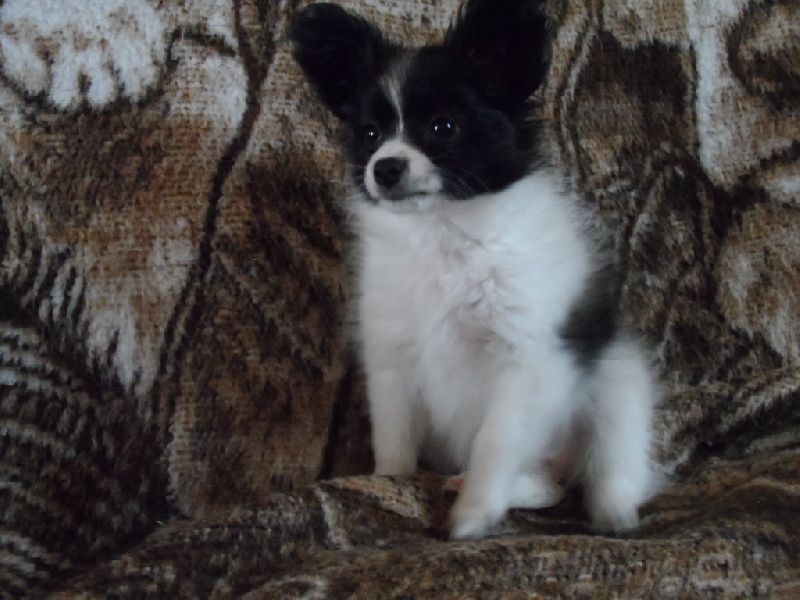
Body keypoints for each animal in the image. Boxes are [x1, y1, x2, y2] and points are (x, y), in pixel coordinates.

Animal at [291, 0, 660, 539]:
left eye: (443, 127)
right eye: (370, 135)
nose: (385, 168)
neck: (444, 231)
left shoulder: (529, 358)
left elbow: (496, 439)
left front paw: (473, 515)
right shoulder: (392, 357)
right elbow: (394, 439)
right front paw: (389, 484)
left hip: (618, 381)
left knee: (608, 462)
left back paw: (611, 513)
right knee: (547, 485)